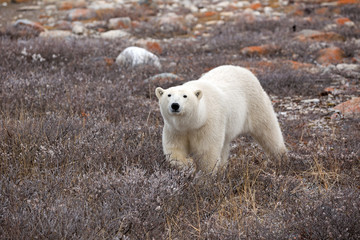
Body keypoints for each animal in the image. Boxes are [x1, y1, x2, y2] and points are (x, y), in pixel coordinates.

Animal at [155, 65, 286, 174]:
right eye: (169, 95)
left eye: (185, 96)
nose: (175, 105)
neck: (193, 122)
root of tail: (243, 69)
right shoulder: (175, 129)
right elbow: (174, 149)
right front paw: (187, 164)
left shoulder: (208, 124)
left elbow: (207, 151)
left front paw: (204, 176)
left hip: (255, 103)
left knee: (268, 131)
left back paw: (281, 157)